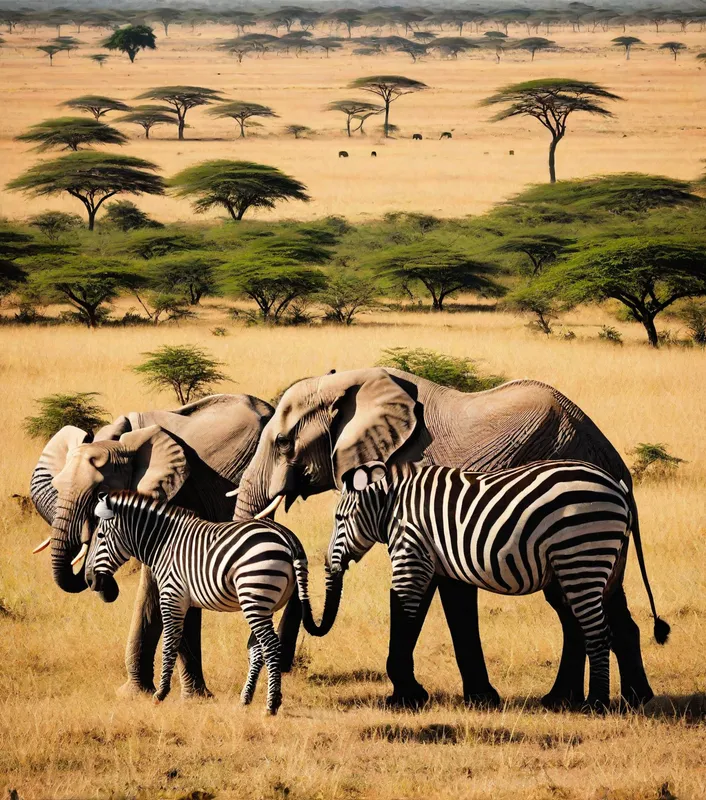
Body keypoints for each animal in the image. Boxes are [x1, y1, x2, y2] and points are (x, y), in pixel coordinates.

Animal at [30, 393, 274, 698]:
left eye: (99, 494)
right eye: (58, 486)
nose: (102, 583)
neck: (121, 446)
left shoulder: (180, 494)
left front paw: (186, 698)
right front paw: (140, 695)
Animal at [85, 491, 328, 714]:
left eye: (100, 535)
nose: (90, 580)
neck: (163, 543)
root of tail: (288, 538)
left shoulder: (171, 596)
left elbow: (169, 643)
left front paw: (160, 694)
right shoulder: (185, 600)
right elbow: (182, 641)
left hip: (254, 591)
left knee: (270, 645)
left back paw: (271, 705)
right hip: (265, 602)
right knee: (257, 648)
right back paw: (246, 699)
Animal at [326, 460, 670, 711]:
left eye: (340, 519)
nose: (332, 563)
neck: (391, 507)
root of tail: (619, 486)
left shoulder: (411, 554)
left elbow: (403, 619)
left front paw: (403, 699)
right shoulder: (433, 562)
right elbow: (441, 617)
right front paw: (416, 694)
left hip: (580, 553)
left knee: (597, 631)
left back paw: (596, 704)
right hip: (601, 563)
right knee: (607, 625)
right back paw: (623, 697)